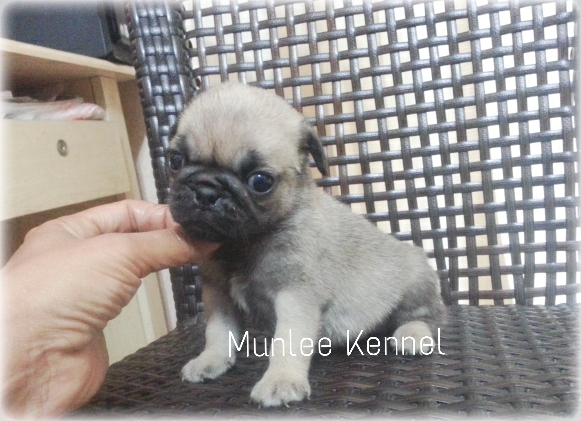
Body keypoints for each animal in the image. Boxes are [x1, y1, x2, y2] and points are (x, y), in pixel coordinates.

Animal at [168, 82, 446, 407]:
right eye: (175, 160)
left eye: (260, 182)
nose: (206, 192)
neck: (245, 242)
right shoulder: (219, 294)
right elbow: (218, 332)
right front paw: (211, 360)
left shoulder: (295, 296)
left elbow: (287, 341)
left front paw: (281, 380)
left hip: (416, 282)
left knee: (425, 316)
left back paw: (412, 334)